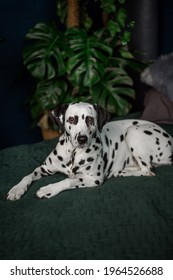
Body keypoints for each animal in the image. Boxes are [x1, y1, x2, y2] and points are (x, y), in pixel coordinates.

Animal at [7, 101, 173, 200]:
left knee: (147, 170)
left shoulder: (93, 178)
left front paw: (49, 189)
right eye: (71, 119)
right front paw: (16, 189)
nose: (82, 139)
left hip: (132, 132)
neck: (73, 154)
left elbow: (69, 180)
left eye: (90, 119)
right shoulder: (44, 168)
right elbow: (27, 176)